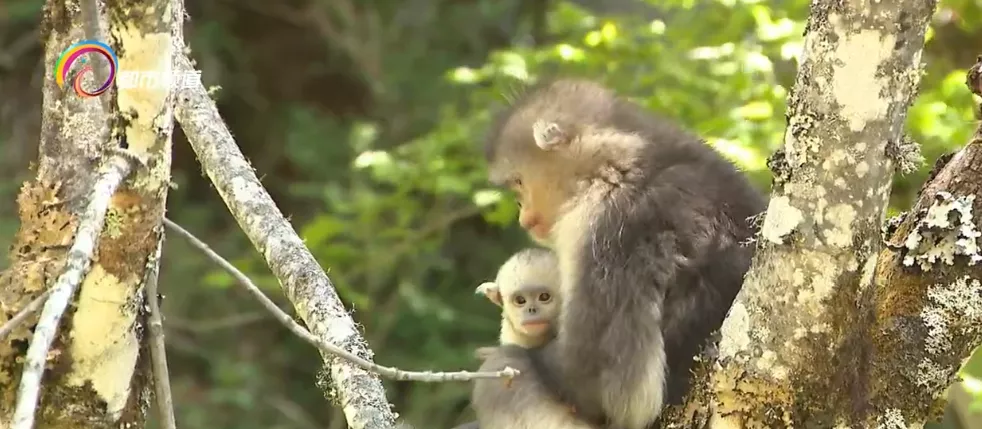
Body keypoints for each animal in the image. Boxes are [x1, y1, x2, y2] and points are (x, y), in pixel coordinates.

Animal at [458, 78, 764, 426]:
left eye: (519, 183)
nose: (524, 215)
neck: (624, 162)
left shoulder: (602, 225)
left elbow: (597, 384)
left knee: (504, 372)